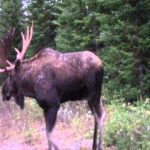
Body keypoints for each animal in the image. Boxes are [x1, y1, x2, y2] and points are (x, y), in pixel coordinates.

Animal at [0, 22, 105, 150]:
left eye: (10, 75)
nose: (3, 91)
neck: (31, 87)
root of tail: (101, 64)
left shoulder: (53, 104)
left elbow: (48, 134)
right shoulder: (45, 107)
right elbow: (47, 135)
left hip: (93, 95)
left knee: (100, 116)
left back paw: (99, 145)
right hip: (94, 96)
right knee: (98, 115)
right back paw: (94, 145)